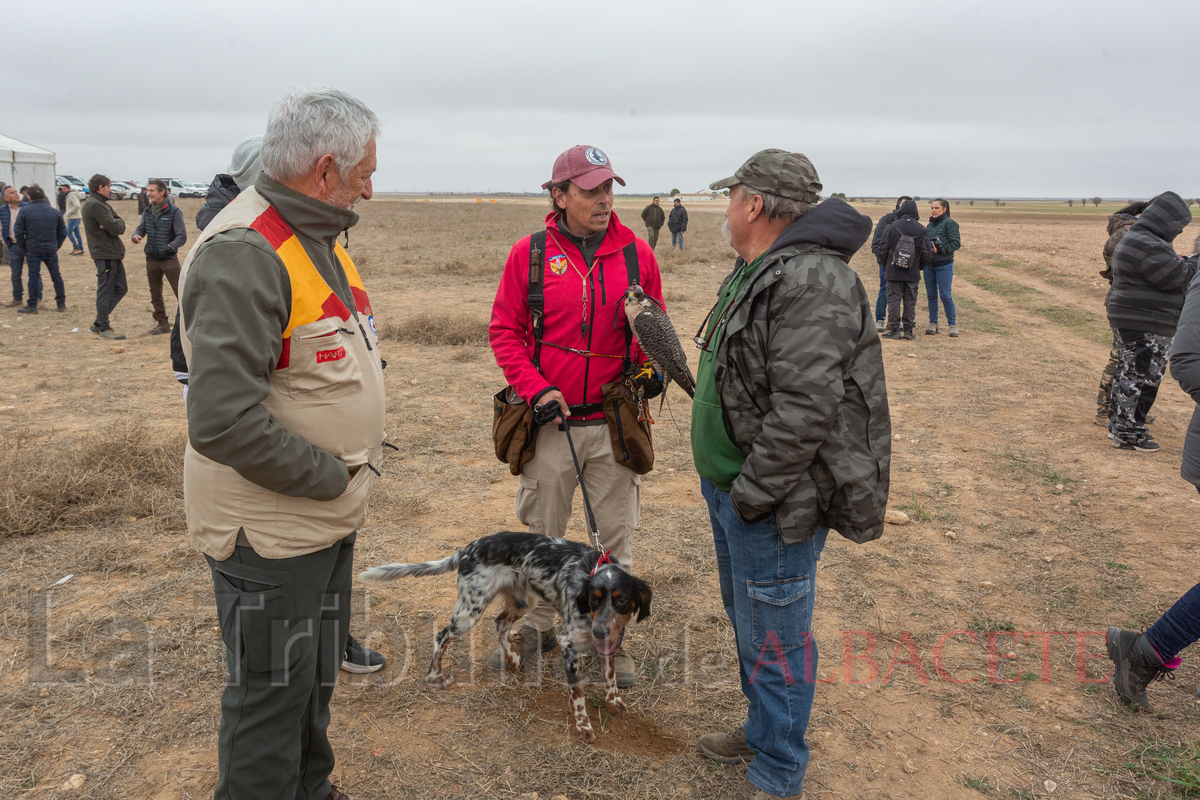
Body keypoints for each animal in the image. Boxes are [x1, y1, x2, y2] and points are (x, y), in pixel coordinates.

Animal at [360, 532, 652, 743]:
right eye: (593, 599)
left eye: (621, 601)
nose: (599, 631)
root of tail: (471, 547)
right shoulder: (569, 643)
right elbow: (577, 693)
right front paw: (583, 726)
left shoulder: (608, 641)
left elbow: (609, 675)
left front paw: (613, 701)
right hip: (470, 612)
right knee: (442, 635)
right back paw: (435, 675)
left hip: (524, 600)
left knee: (500, 623)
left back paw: (512, 658)